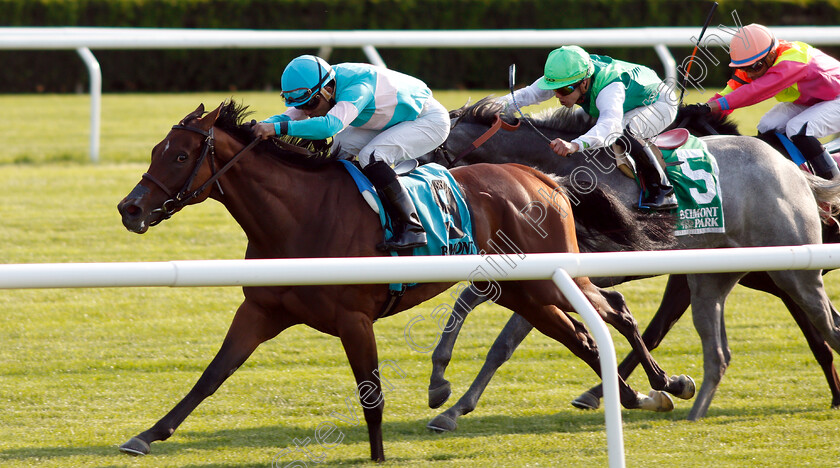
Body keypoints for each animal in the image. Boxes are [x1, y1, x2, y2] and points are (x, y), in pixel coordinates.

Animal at [118, 100, 696, 462]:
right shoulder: (260, 311)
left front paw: (377, 455)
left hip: (546, 279)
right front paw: (148, 434)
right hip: (526, 291)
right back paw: (636, 394)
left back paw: (664, 385)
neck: (297, 216)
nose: (130, 209)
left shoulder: (354, 319)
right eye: (154, 150)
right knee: (581, 334)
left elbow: (370, 394)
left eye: (178, 154)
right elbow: (213, 374)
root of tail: (540, 177)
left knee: (610, 310)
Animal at [420, 99, 840, 432]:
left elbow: (503, 343)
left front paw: (453, 406)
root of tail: (793, 170)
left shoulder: (571, 275)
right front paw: (442, 386)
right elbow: (471, 305)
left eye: (423, 156)